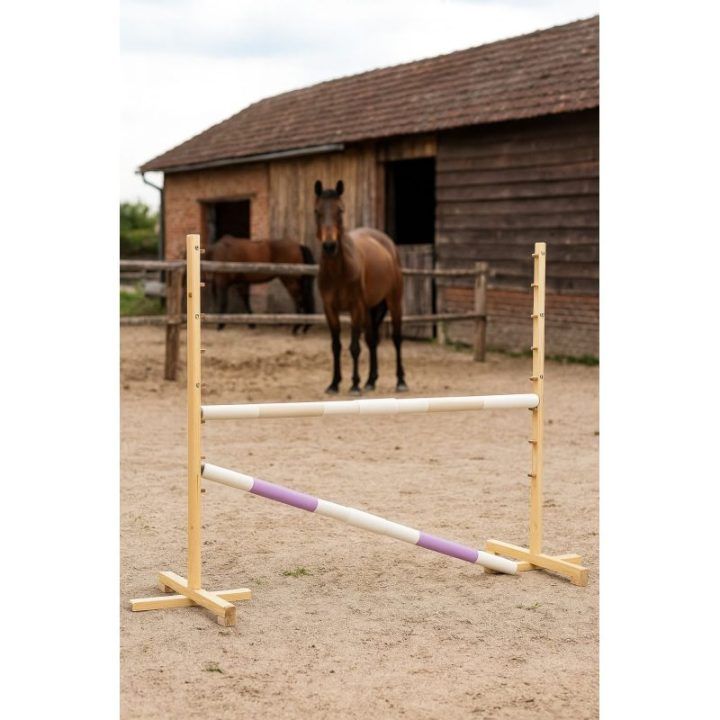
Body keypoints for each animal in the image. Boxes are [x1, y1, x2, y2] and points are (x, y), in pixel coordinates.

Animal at [314, 179, 407, 394]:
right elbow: (336, 346)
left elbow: (354, 346)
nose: (329, 246)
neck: (339, 271)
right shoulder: (330, 309)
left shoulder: (355, 307)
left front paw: (354, 384)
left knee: (397, 338)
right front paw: (334, 383)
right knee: (372, 340)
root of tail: (387, 243)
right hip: (370, 309)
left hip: (393, 302)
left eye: (340, 210)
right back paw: (371, 381)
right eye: (317, 211)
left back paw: (400, 381)